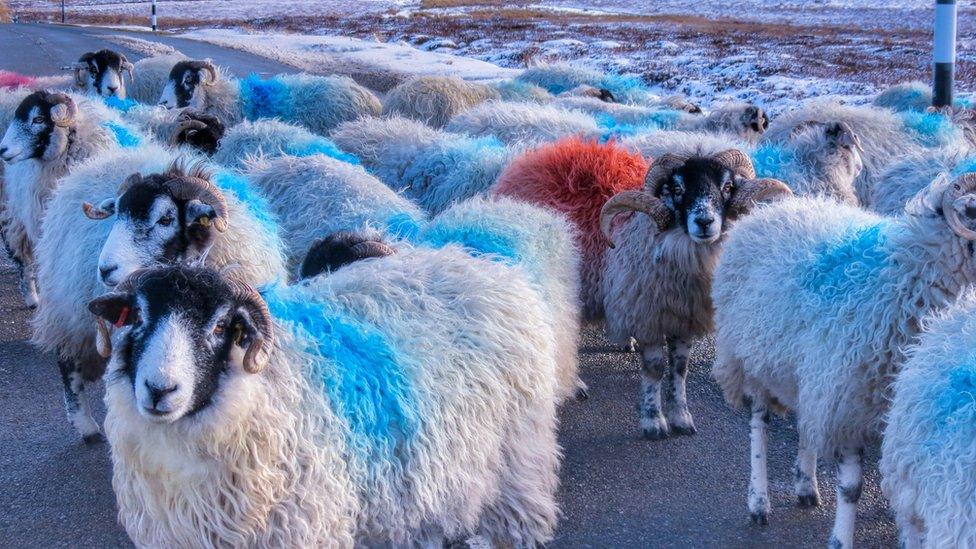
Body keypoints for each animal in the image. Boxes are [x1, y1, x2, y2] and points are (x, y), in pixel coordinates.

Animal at [33, 146, 287, 440]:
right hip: (67, 306)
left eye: (165, 219)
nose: (105, 269)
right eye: (117, 214)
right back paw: (84, 424)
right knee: (68, 363)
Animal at [495, 138, 789, 436]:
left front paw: (682, 417)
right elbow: (655, 369)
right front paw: (653, 421)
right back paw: (575, 384)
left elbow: (680, 369)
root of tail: (537, 160)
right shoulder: (648, 312)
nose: (704, 222)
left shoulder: (682, 316)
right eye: (677, 189)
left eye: (727, 187)